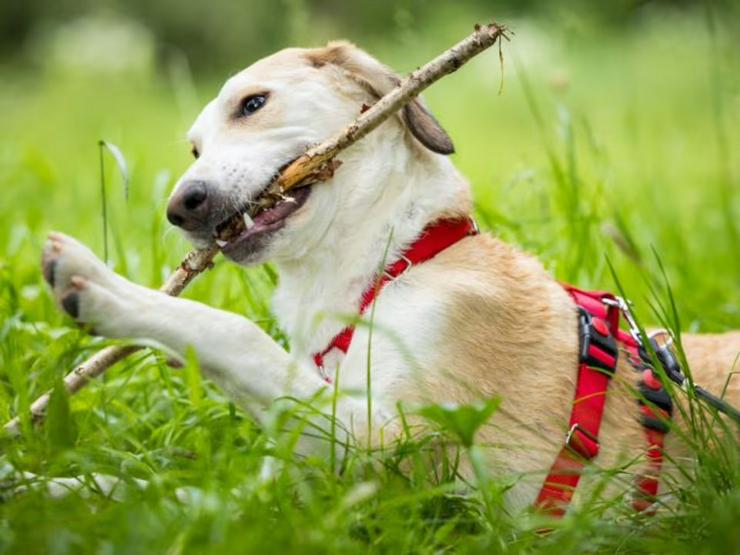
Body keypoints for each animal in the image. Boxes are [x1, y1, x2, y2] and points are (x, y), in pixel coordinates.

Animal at [43, 41, 736, 516]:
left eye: (254, 104)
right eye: (193, 150)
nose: (181, 207)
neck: (390, 268)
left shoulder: (382, 451)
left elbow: (232, 333)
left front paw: (103, 288)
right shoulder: (308, 491)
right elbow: (153, 489)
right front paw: (40, 486)